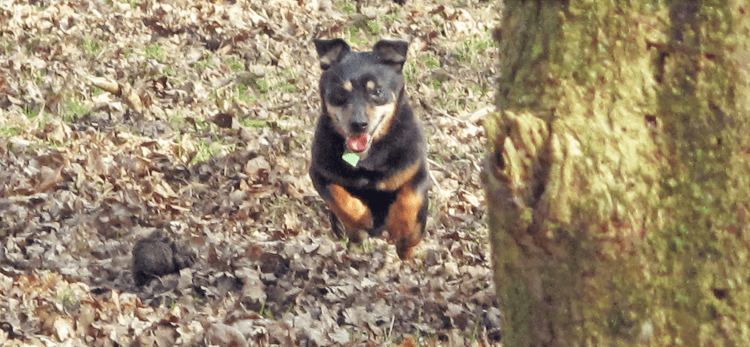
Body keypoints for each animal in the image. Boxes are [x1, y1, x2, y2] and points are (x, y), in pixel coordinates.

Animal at [310, 38, 428, 260]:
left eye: (377, 91)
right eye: (341, 92)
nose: (359, 123)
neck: (368, 158)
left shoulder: (416, 169)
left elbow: (409, 199)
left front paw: (399, 227)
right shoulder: (318, 173)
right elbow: (338, 196)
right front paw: (362, 219)